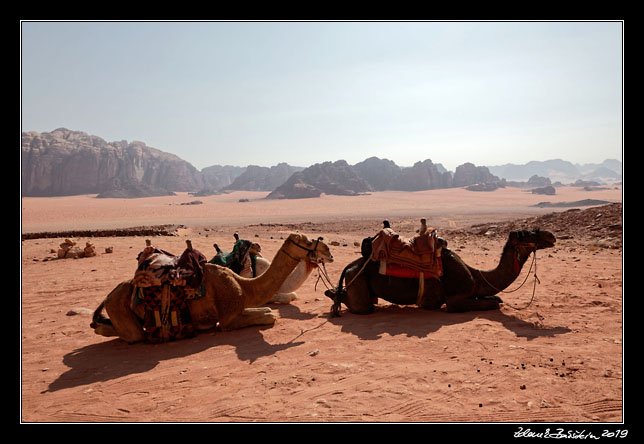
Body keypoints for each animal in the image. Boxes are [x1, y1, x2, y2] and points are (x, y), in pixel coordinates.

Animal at [93, 232, 334, 344]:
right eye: (306, 241)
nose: (329, 252)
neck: (245, 285)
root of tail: (108, 297)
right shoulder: (228, 319)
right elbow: (271, 315)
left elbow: (267, 311)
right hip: (123, 312)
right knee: (133, 335)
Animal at [324, 229, 556, 316]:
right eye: (530, 233)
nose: (552, 236)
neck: (477, 276)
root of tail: (350, 265)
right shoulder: (455, 300)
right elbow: (493, 303)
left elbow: (496, 298)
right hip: (358, 282)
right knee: (361, 306)